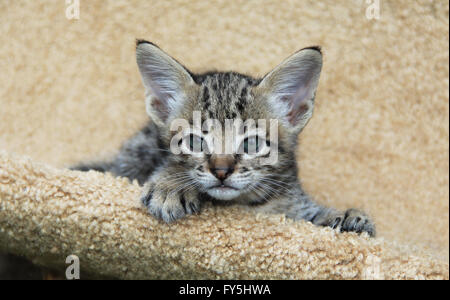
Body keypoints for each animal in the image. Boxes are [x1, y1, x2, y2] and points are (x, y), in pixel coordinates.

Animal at [73, 40, 376, 237]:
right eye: (194, 141)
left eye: (252, 143)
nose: (221, 170)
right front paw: (171, 186)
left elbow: (306, 214)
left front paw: (345, 217)